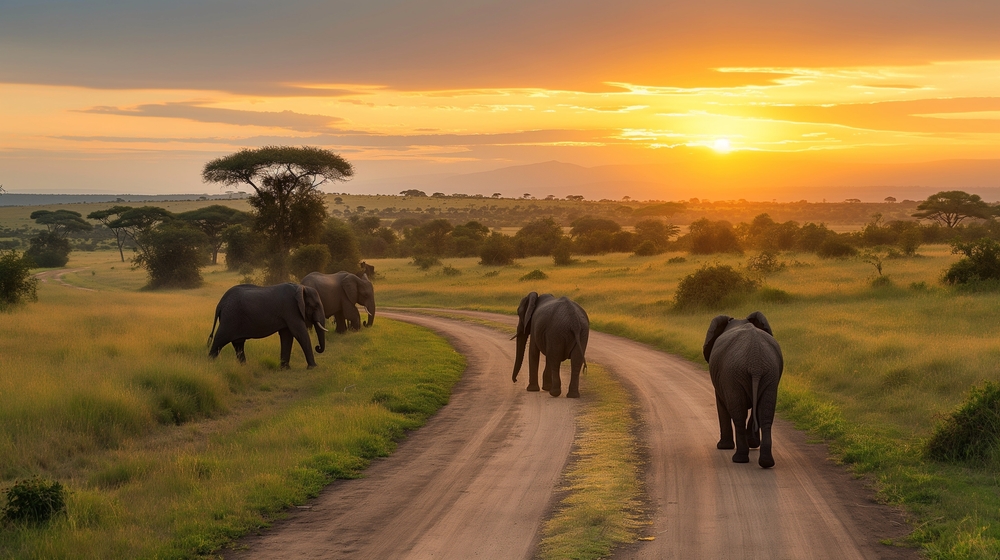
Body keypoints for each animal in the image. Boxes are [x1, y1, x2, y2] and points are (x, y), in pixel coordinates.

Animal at [703, 311, 784, 468]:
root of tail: (755, 363)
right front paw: (752, 443)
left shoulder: (724, 381)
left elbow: (722, 405)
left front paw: (723, 447)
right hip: (769, 373)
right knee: (765, 413)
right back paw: (766, 462)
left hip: (734, 374)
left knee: (739, 415)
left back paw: (739, 459)